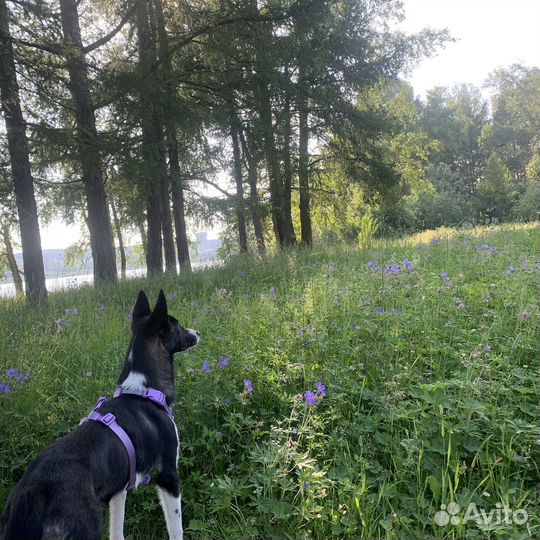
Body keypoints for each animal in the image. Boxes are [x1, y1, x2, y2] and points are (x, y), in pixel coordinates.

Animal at [0, 292, 198, 540]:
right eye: (177, 324)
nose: (197, 333)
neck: (142, 391)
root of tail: (31, 495)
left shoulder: (119, 489)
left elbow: (117, 532)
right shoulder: (168, 476)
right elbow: (176, 529)